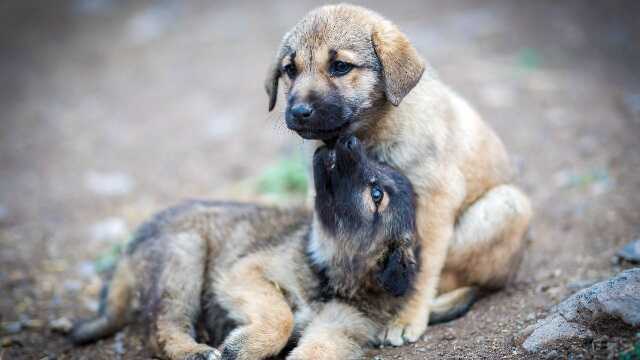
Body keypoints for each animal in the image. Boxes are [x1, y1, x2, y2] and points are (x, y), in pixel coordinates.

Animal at [71, 136, 420, 360]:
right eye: (376, 163)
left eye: (377, 195)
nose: (349, 139)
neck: (327, 276)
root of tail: (130, 247)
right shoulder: (246, 270)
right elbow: (281, 317)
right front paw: (243, 347)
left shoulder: (341, 328)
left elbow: (317, 348)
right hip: (184, 254)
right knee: (162, 328)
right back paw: (194, 351)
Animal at [264, 3, 536, 346]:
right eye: (290, 70)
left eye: (340, 66)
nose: (299, 112)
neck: (374, 130)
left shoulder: (434, 204)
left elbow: (421, 270)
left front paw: (406, 319)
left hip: (506, 206)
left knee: (467, 281)